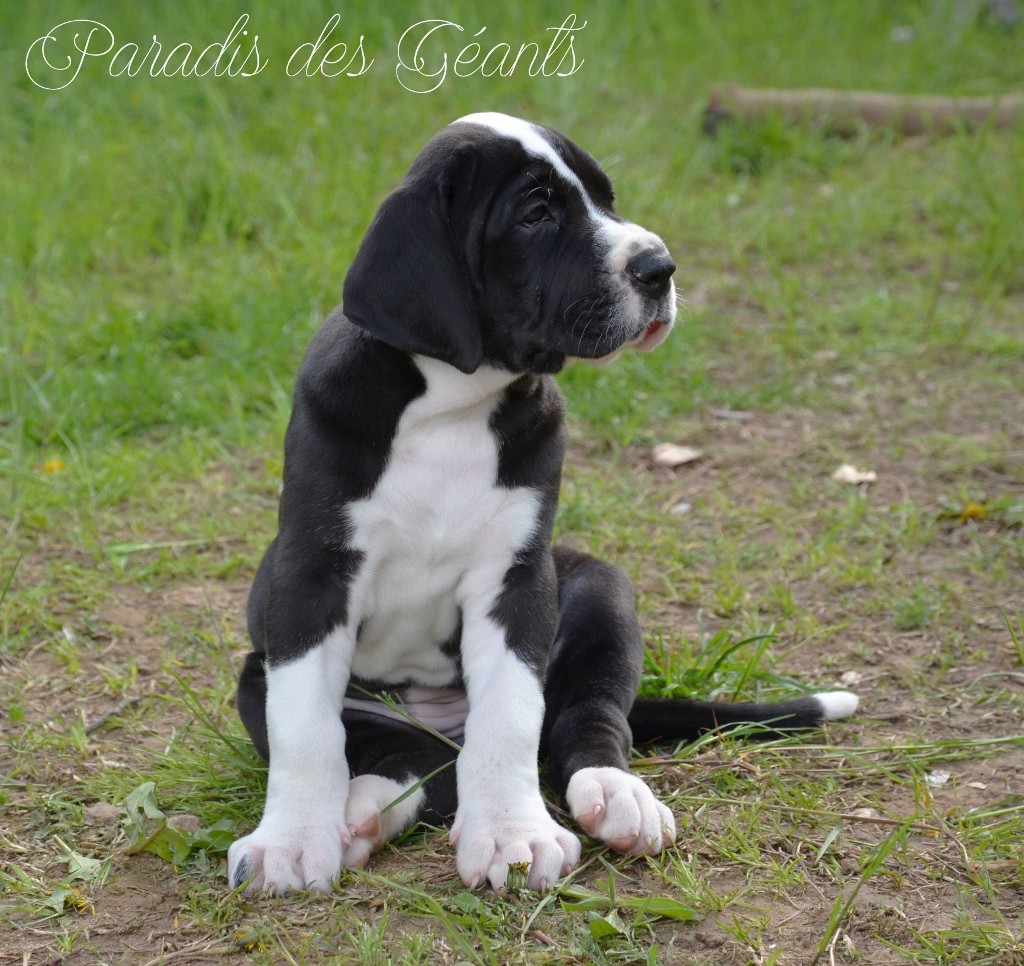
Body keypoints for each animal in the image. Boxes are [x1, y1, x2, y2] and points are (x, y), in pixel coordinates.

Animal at [227, 113, 858, 894]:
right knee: (413, 760)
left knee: (577, 723)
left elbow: (512, 717)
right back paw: (359, 812)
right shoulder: (311, 578)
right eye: (536, 214)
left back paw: (614, 795)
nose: (660, 267)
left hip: (598, 590)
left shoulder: (519, 578)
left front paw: (510, 834)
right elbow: (307, 727)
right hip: (261, 679)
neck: (454, 402)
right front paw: (288, 843)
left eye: (606, 198)